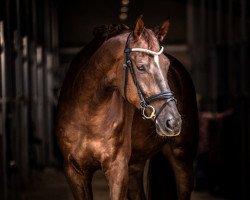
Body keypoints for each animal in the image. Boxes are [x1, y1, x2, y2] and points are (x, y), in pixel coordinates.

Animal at [55, 16, 198, 200]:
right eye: (140, 66)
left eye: (166, 66)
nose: (173, 122)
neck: (88, 113)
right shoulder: (75, 172)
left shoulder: (117, 170)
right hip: (135, 167)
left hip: (182, 161)